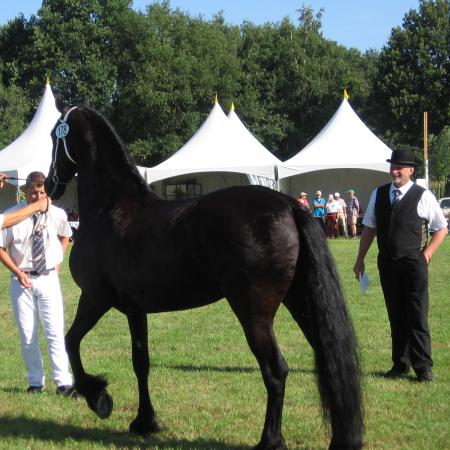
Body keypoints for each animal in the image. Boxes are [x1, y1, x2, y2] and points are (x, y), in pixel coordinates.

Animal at [44, 103, 362, 448]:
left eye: (54, 136)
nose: (49, 185)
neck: (113, 209)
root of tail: (288, 205)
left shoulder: (95, 298)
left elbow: (71, 340)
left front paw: (98, 397)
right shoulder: (134, 310)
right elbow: (141, 362)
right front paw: (144, 421)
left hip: (254, 313)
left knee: (275, 370)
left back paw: (270, 440)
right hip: (301, 301)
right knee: (330, 361)